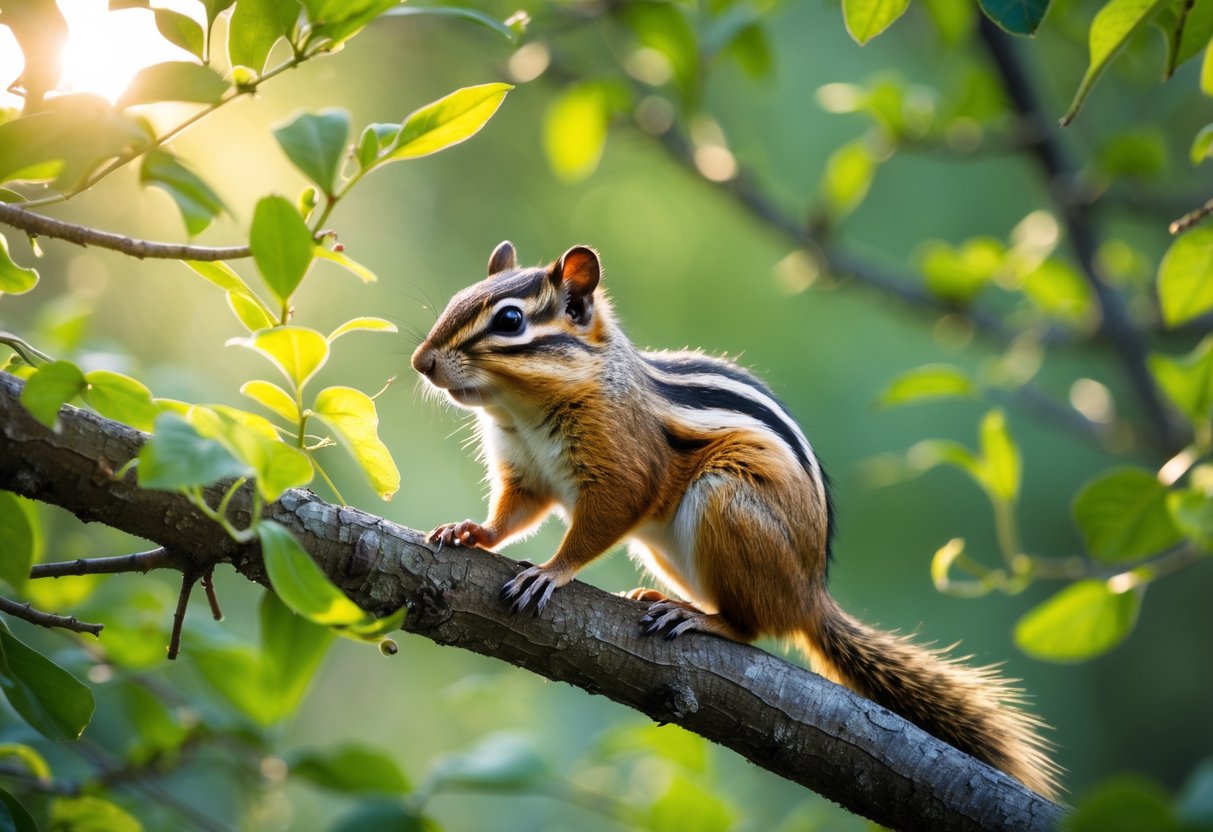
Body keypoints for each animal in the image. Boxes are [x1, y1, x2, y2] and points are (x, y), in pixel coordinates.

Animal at [411, 241, 1061, 800]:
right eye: (457, 298)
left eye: (510, 321)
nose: (421, 362)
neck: (522, 409)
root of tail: (810, 596)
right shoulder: (525, 472)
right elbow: (514, 513)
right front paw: (471, 532)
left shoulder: (623, 466)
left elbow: (602, 519)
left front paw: (551, 571)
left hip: (724, 502)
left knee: (753, 626)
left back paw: (699, 618)